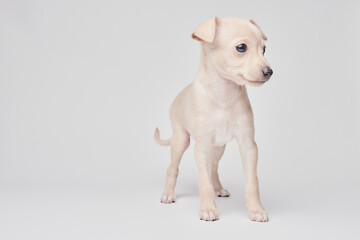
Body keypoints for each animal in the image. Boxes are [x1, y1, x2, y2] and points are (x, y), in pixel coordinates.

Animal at [155, 17, 272, 223]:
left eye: (264, 49)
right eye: (241, 47)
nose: (269, 71)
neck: (224, 94)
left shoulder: (248, 145)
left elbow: (252, 181)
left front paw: (256, 210)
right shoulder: (201, 147)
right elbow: (204, 182)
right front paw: (208, 209)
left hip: (219, 147)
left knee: (214, 168)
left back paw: (219, 188)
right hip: (181, 140)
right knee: (173, 168)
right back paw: (168, 194)